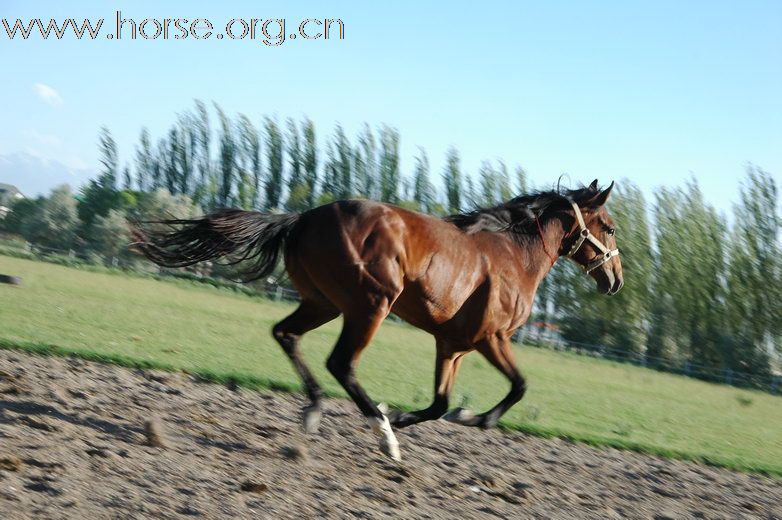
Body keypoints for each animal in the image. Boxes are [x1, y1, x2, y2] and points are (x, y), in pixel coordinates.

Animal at [135, 181, 624, 462]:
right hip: (371, 304)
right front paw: (467, 418)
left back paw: (316, 411)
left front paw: (406, 413)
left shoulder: (452, 346)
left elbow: (439, 404)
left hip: (324, 304)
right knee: (342, 364)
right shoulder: (492, 338)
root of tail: (304, 217)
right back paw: (383, 437)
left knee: (285, 334)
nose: (616, 279)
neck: (513, 254)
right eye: (611, 227)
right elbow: (518, 387)